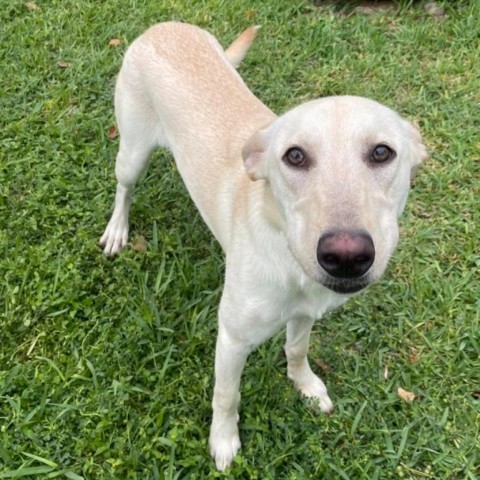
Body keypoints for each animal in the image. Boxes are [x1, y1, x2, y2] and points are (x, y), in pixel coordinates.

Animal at [98, 22, 428, 468]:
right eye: (294, 156)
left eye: (382, 152)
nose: (346, 257)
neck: (287, 258)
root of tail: (164, 26)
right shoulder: (232, 338)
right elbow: (226, 395)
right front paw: (223, 441)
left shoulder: (304, 315)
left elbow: (297, 349)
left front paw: (305, 386)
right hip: (131, 152)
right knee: (124, 189)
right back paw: (118, 229)